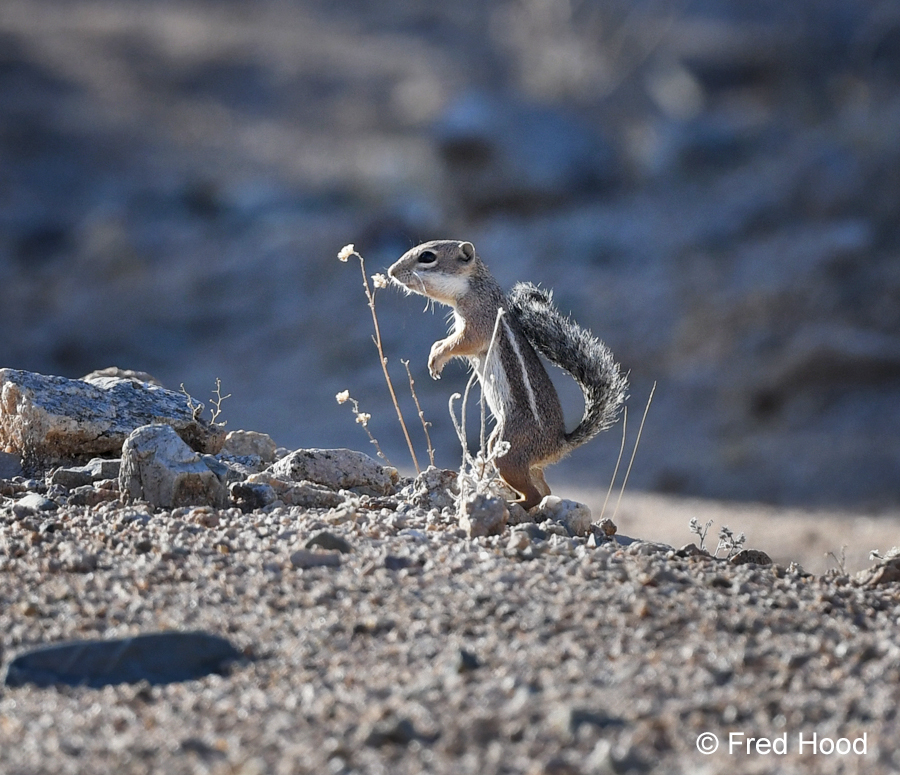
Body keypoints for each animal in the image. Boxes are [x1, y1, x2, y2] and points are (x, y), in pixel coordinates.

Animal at [388, 239, 627, 509]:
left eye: (427, 257)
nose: (392, 272)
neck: (477, 287)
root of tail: (558, 444)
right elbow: (448, 342)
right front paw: (434, 355)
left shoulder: (479, 323)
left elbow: (460, 343)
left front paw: (437, 358)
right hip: (519, 457)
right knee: (544, 488)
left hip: (508, 450)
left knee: (534, 495)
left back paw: (512, 503)